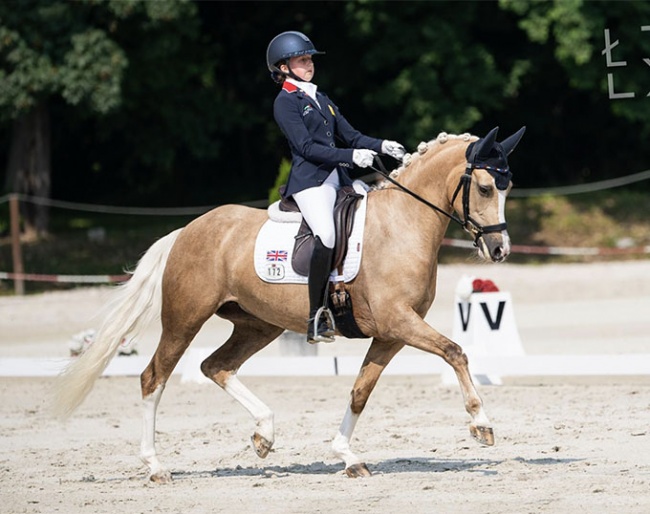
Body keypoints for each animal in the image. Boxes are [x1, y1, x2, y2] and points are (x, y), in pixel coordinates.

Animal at [53, 127, 524, 480]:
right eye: (485, 188)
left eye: (508, 187)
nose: (500, 249)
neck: (402, 224)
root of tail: (187, 230)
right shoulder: (399, 322)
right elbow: (456, 351)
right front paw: (481, 424)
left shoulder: (391, 333)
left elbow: (360, 391)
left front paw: (347, 456)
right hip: (185, 319)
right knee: (154, 377)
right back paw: (155, 466)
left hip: (258, 324)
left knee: (215, 366)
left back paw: (264, 433)